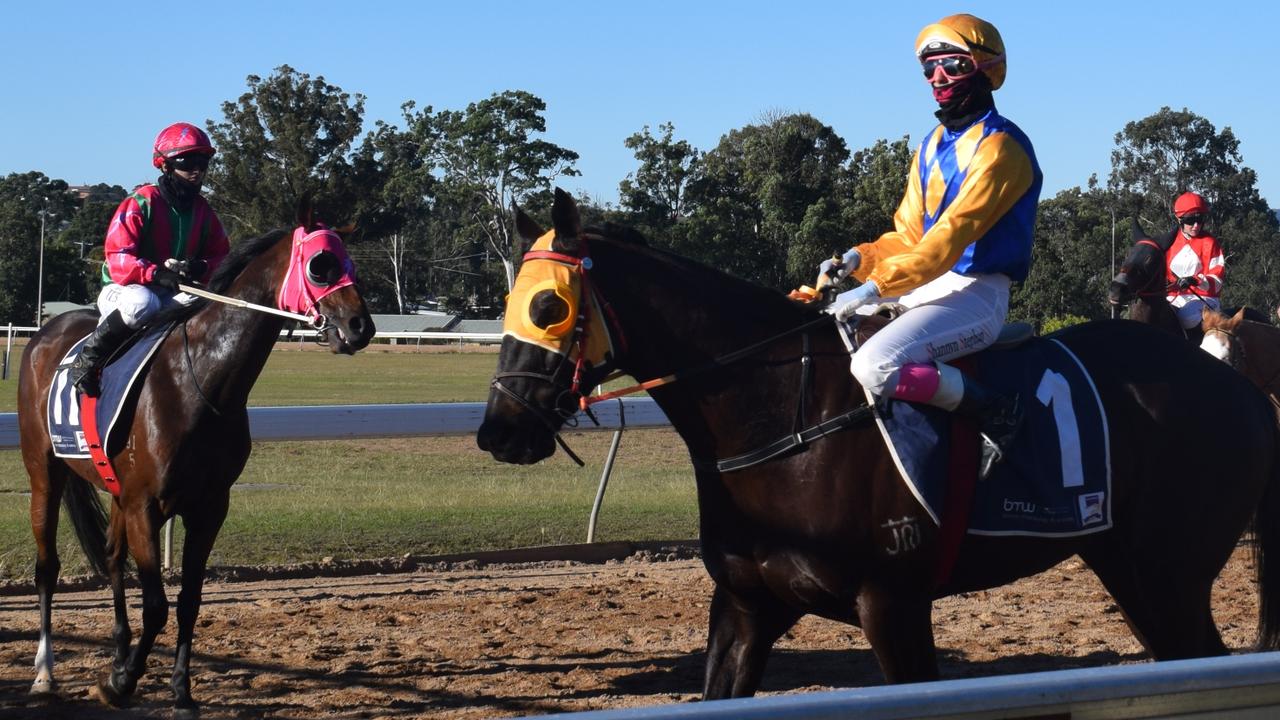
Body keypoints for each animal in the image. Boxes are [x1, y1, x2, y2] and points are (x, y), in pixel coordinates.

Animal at [17, 198, 373, 712]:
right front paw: (121, 683)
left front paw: (178, 688)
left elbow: (188, 601)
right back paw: (45, 672)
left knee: (112, 558)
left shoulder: (207, 508)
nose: (360, 326)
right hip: (44, 470)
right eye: (320, 264)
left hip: (115, 488)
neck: (200, 379)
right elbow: (157, 605)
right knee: (48, 567)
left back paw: (118, 653)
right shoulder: (147, 506)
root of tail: (49, 330)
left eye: (352, 264)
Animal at [476, 188, 1280, 696]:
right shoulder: (744, 606)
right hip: (1130, 569)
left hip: (1170, 576)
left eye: (547, 307)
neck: (785, 414)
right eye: (508, 303)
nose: (498, 431)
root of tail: (1239, 388)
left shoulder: (893, 605)